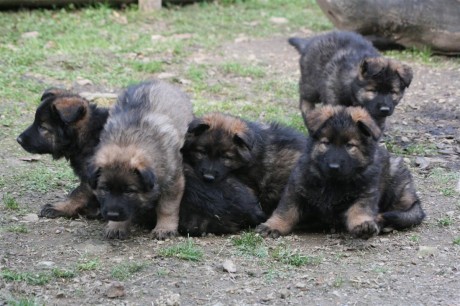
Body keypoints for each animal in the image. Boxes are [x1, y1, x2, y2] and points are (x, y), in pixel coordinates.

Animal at [15, 88, 109, 218]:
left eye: (43, 127)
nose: (19, 140)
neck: (87, 134)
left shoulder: (92, 176)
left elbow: (77, 193)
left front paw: (60, 208)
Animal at [88, 80, 194, 240]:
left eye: (129, 191)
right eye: (104, 189)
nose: (112, 214)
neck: (126, 141)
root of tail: (159, 81)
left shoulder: (174, 182)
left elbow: (167, 207)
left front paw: (164, 228)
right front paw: (116, 226)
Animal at [255, 105, 424, 239]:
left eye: (349, 146)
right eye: (326, 143)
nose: (334, 166)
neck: (333, 182)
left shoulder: (366, 191)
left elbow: (359, 209)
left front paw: (363, 225)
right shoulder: (296, 188)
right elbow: (285, 210)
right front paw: (273, 225)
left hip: (395, 183)